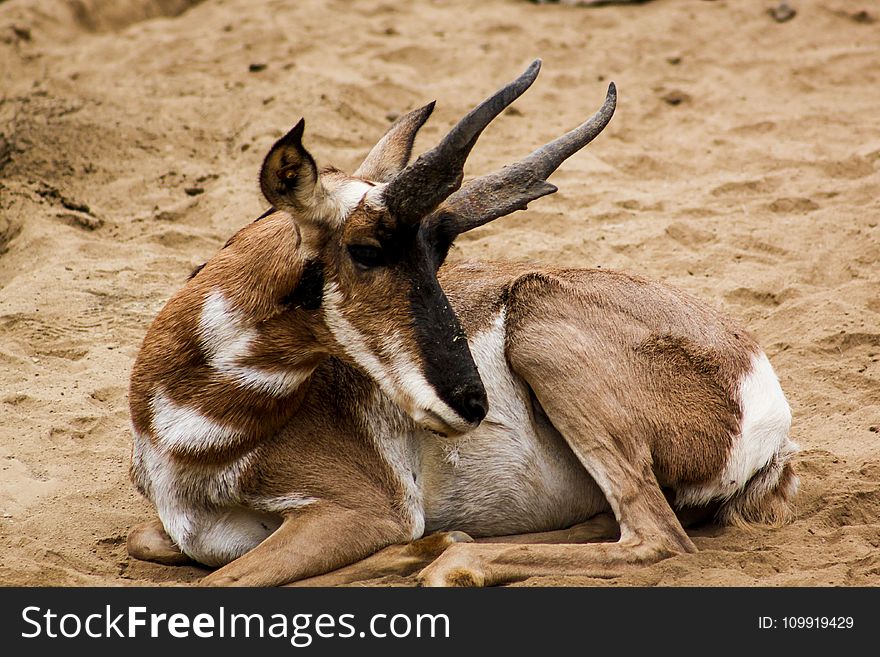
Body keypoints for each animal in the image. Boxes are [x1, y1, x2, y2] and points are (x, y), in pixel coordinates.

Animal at [129, 60, 796, 584]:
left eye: (438, 254)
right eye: (367, 250)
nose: (472, 403)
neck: (187, 432)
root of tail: (755, 377)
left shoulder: (363, 512)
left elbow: (225, 581)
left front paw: (427, 548)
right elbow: (153, 544)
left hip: (540, 332)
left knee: (657, 538)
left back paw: (453, 560)